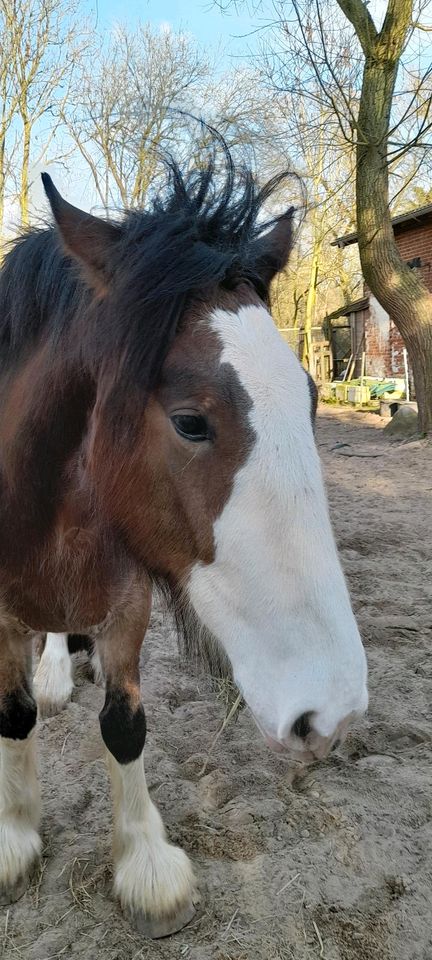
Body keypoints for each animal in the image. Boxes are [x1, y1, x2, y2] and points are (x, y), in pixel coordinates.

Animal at [0, 148, 368, 936]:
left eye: (311, 398)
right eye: (190, 422)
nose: (335, 708)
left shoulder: (127, 603)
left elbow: (125, 725)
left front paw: (144, 864)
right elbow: (12, 717)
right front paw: (14, 837)